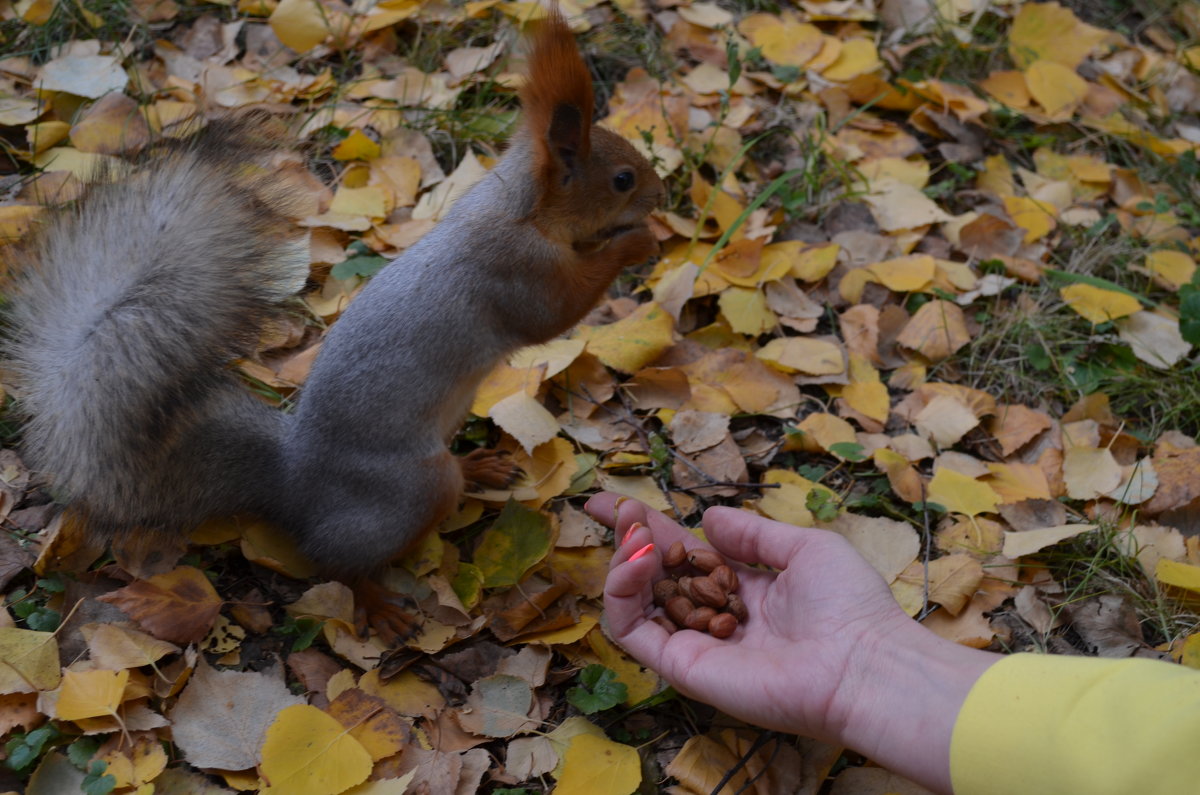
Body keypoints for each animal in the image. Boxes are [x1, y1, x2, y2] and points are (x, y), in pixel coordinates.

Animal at [4, 12, 667, 643]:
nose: (662, 194)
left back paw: (479, 468)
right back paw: (378, 603)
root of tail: (294, 484)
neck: (520, 208)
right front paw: (635, 243)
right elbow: (556, 311)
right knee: (338, 562)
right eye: (622, 179)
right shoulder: (515, 269)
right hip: (411, 488)